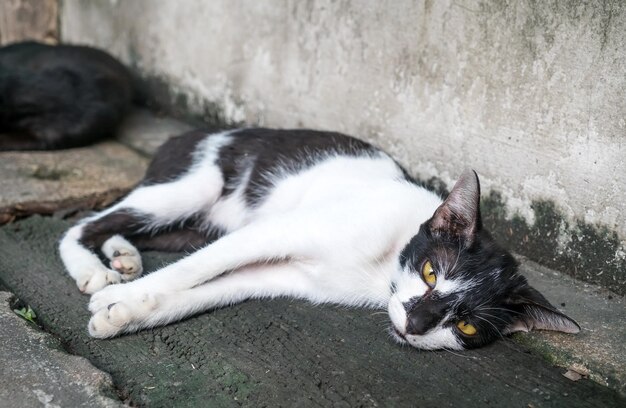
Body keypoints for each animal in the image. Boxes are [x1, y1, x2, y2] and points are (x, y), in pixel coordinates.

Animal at [59, 128, 580, 350]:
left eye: (468, 327)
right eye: (432, 272)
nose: (415, 325)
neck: (380, 270)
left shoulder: (282, 276)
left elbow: (202, 291)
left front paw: (123, 314)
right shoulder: (275, 230)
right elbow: (193, 270)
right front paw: (116, 299)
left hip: (197, 223)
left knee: (144, 232)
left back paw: (123, 256)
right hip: (191, 186)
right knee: (84, 224)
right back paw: (94, 272)